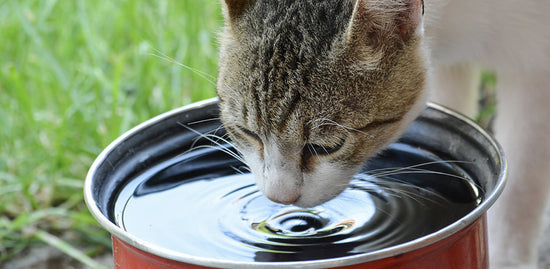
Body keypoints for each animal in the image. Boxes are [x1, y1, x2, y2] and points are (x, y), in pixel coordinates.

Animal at [215, 1, 550, 266]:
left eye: (327, 147)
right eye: (247, 132)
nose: (279, 198)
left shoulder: (535, 65)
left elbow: (520, 194)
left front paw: (507, 257)